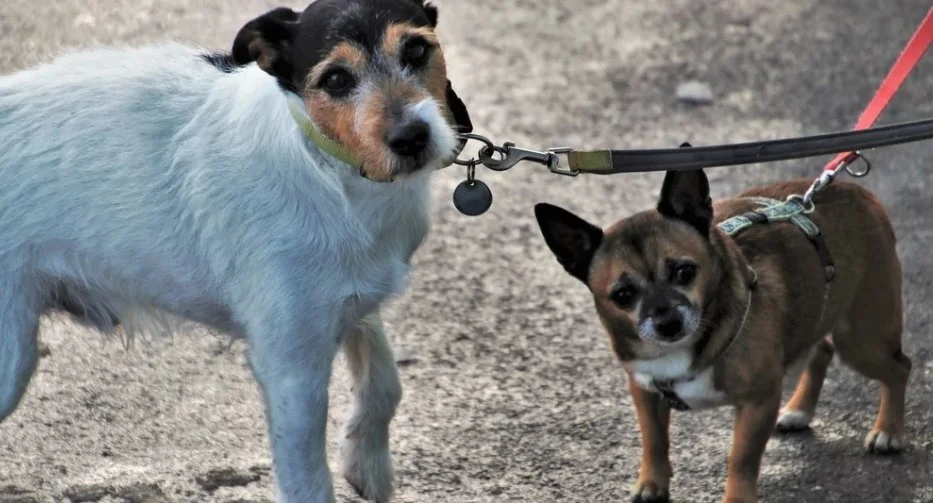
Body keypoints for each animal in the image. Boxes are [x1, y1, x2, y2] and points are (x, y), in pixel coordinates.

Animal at [0, 0, 470, 503]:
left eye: (416, 50)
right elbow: (308, 482)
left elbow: (384, 381)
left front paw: (368, 463)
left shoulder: (350, 303)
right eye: (336, 79)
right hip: (11, 359)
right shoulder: (291, 369)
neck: (330, 166)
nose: (412, 137)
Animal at [532, 170, 912, 503]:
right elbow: (654, 441)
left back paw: (888, 430)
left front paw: (736, 498)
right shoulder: (645, 391)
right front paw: (652, 483)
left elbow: (740, 458)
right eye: (623, 295)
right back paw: (800, 410)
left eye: (685, 272)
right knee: (820, 351)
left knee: (900, 367)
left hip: (862, 341)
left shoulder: (758, 403)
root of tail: (857, 191)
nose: (668, 322)